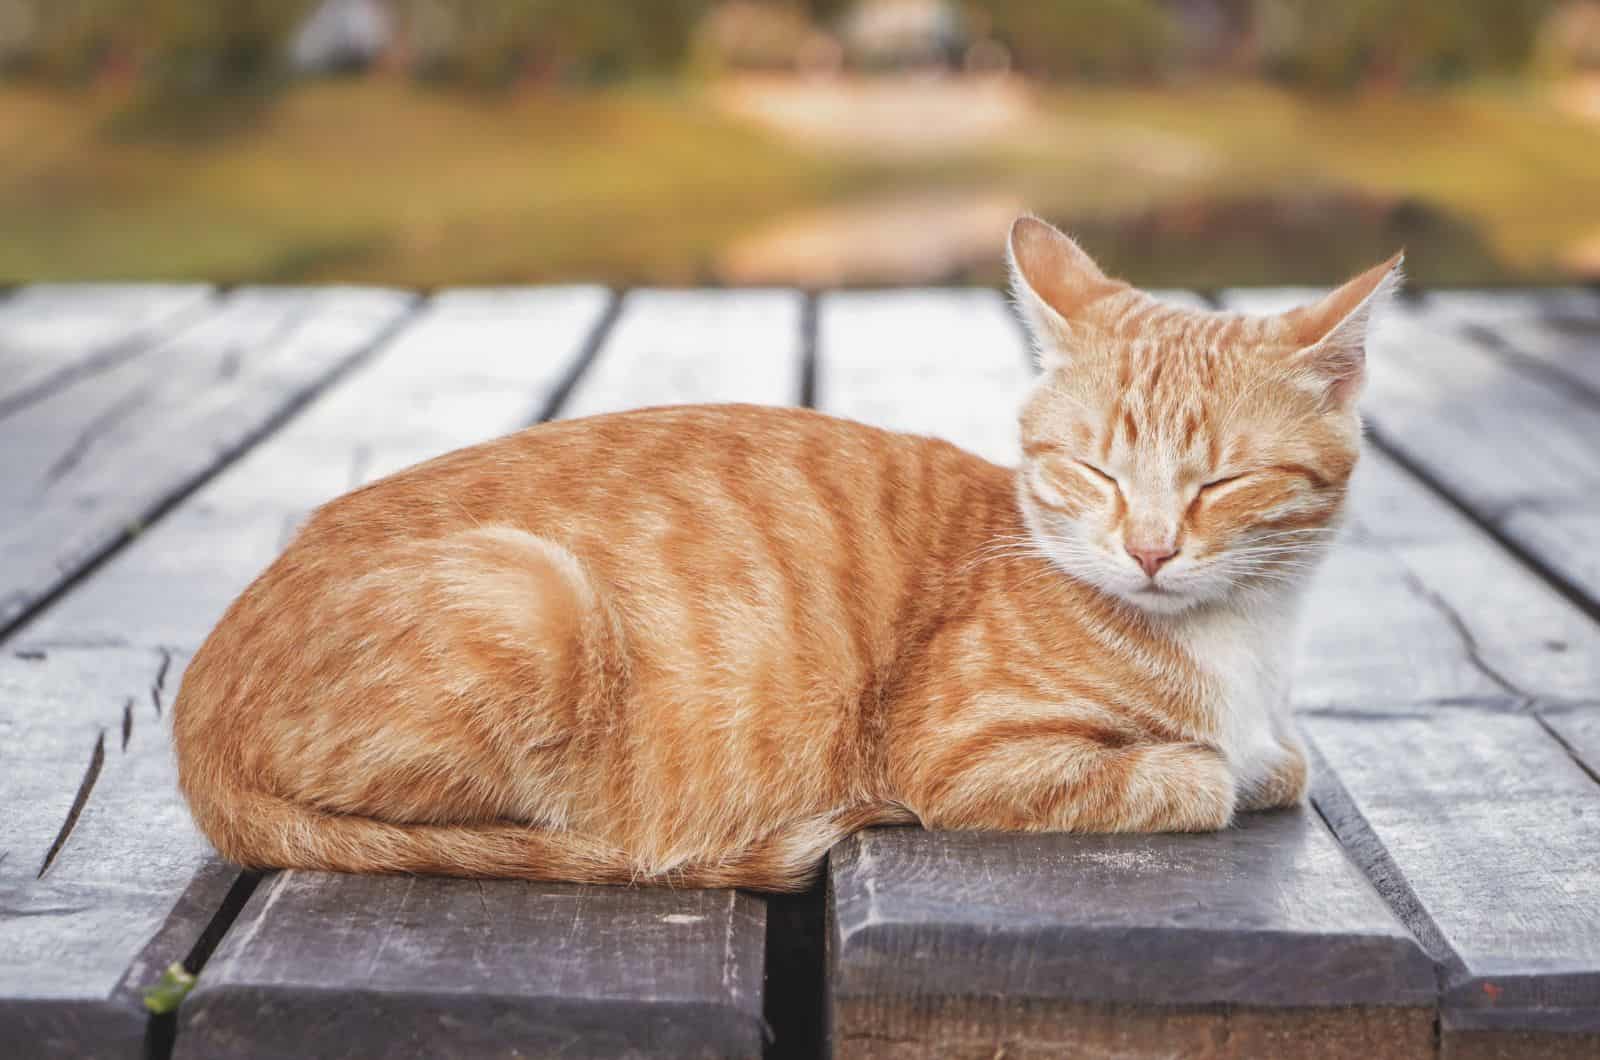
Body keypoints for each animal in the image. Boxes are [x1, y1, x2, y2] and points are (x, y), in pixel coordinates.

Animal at [172, 217, 1401, 896]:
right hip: (530, 601)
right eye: (1093, 471)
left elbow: (1279, 762)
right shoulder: (962, 758)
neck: (1241, 644)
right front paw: (1218, 760)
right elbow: (1202, 773)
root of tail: (196, 701)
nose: (1147, 550)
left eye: (1220, 483)